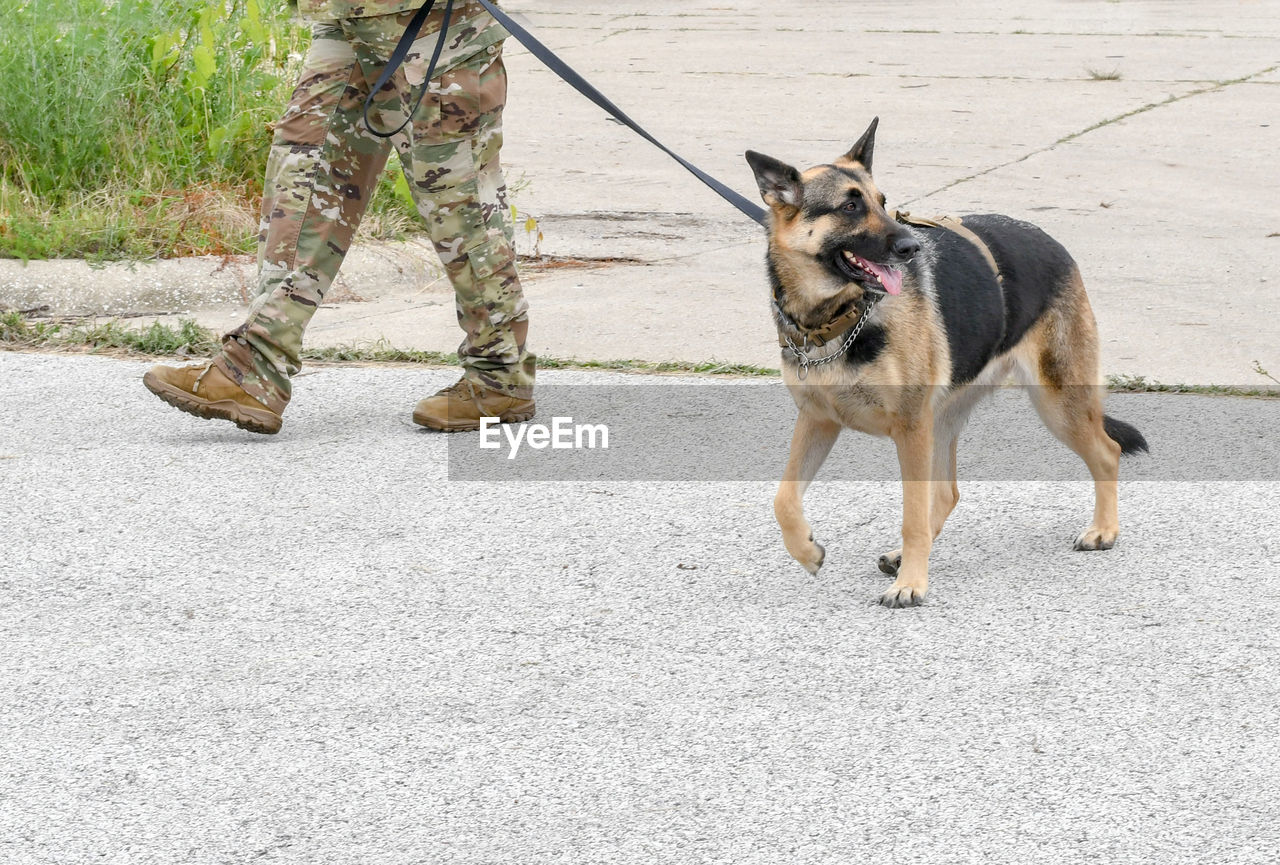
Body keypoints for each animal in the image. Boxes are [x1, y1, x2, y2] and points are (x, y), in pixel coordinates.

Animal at [747, 118, 1146, 611]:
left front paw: (911, 585)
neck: (837, 317)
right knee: (947, 492)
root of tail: (1050, 240)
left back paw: (1103, 531)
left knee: (1107, 452)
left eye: (882, 202)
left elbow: (911, 515)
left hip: (1055, 404)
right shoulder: (818, 421)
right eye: (849, 207)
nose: (912, 247)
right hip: (944, 421)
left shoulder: (909, 427)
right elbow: (783, 499)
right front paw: (806, 551)